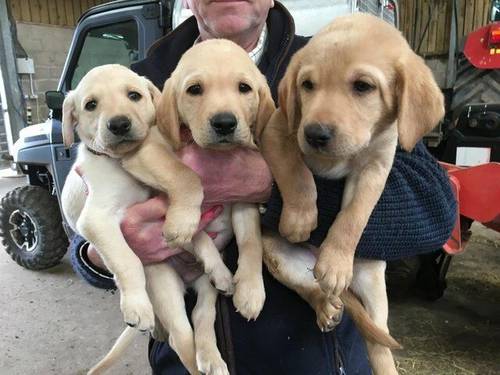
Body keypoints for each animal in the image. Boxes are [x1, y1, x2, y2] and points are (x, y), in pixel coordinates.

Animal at [260, 13, 444, 374]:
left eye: (363, 86)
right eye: (307, 85)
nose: (315, 134)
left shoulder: (376, 166)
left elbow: (354, 215)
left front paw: (336, 261)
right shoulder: (278, 130)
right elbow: (297, 172)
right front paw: (300, 218)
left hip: (372, 281)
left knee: (378, 338)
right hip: (278, 258)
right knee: (309, 290)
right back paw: (325, 306)